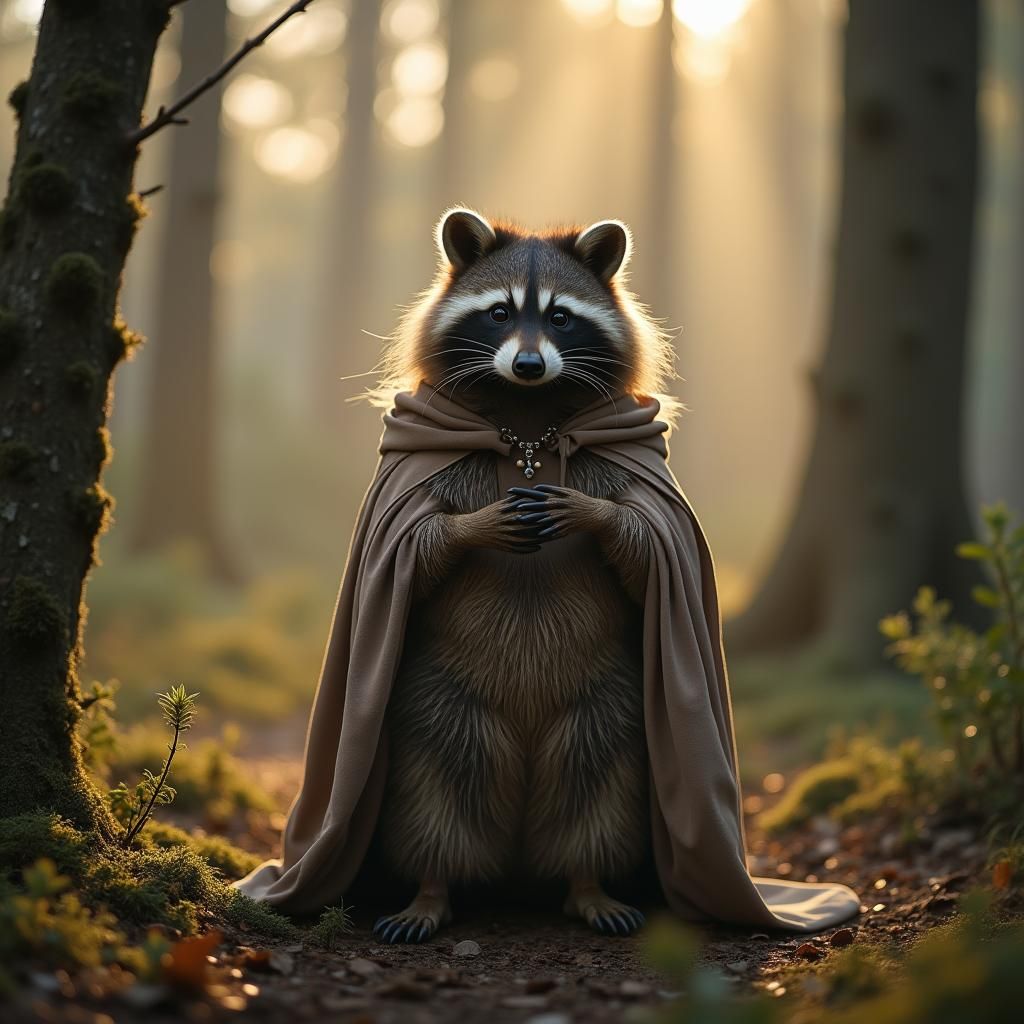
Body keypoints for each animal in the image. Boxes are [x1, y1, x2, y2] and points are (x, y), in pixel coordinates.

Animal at [372, 209, 673, 943]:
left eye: (561, 317)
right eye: (500, 313)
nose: (529, 364)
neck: (528, 411)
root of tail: (516, 870)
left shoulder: (633, 456)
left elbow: (645, 544)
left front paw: (589, 512)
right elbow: (417, 547)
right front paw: (473, 528)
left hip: (608, 693)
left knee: (597, 778)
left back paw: (586, 882)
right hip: (439, 692)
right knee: (441, 779)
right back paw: (432, 886)